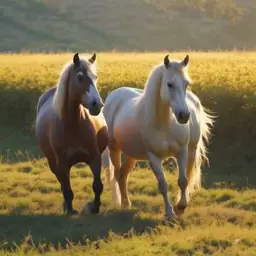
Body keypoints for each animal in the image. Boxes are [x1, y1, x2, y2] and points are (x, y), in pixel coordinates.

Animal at [35, 53, 107, 215]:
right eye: (80, 77)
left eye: (96, 76)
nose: (97, 105)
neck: (73, 124)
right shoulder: (61, 162)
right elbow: (66, 188)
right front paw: (70, 210)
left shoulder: (95, 157)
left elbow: (97, 185)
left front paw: (94, 207)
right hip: (53, 163)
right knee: (62, 184)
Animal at [103, 55, 213, 219]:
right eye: (169, 84)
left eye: (186, 84)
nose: (184, 116)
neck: (164, 123)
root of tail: (114, 96)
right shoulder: (153, 157)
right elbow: (163, 185)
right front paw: (169, 213)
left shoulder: (182, 152)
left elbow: (183, 181)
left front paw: (180, 207)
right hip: (114, 148)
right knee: (118, 174)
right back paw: (123, 203)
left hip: (187, 151)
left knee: (123, 174)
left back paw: (126, 203)